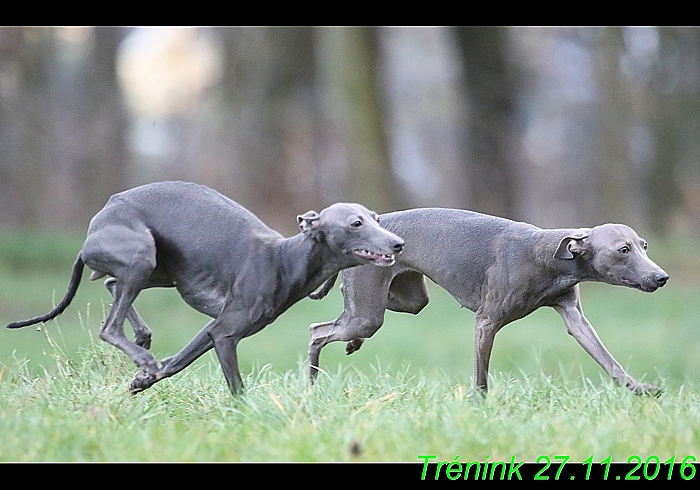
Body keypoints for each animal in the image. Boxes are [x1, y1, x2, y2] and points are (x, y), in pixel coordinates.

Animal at [6, 182, 404, 396]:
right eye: (355, 223)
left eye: (376, 218)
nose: (398, 244)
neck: (285, 259)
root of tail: (98, 220)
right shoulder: (226, 334)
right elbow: (237, 389)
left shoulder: (212, 330)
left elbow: (175, 363)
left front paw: (142, 382)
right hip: (140, 258)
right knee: (109, 325)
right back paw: (140, 351)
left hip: (159, 270)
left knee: (109, 281)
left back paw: (143, 341)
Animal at [306, 209, 668, 396]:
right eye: (623, 250)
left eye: (644, 245)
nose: (661, 277)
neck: (547, 256)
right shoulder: (486, 321)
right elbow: (481, 377)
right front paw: (479, 408)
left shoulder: (573, 315)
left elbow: (607, 359)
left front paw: (639, 388)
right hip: (369, 311)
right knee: (317, 330)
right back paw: (310, 383)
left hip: (408, 299)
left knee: (343, 321)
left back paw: (351, 344)